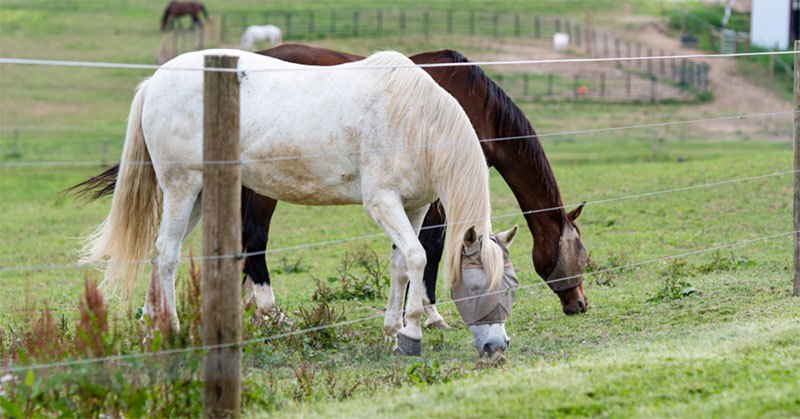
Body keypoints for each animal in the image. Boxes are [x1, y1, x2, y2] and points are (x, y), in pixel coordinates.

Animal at [67, 43, 588, 332]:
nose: (580, 304)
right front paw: (424, 321)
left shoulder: (415, 203)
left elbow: (405, 260)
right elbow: (426, 255)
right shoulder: (392, 203)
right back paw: (193, 325)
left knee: (168, 252)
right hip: (188, 187)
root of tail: (155, 81)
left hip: (201, 194)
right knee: (180, 251)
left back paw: (158, 322)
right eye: (577, 256)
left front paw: (396, 324)